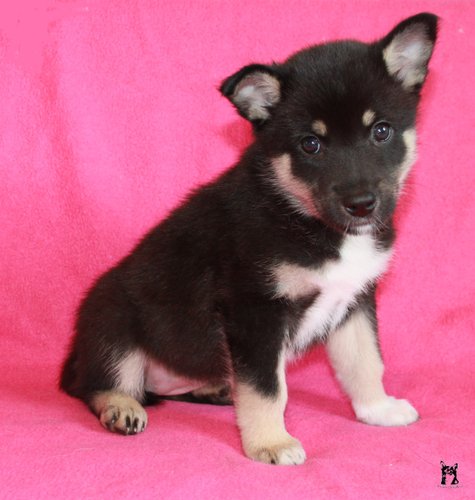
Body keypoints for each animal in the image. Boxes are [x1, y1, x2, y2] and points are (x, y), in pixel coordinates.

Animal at [60, 13, 438, 465]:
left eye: (381, 131)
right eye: (311, 144)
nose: (362, 205)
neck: (304, 217)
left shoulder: (355, 302)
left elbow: (364, 362)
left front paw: (377, 409)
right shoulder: (254, 310)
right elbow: (266, 388)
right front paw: (270, 443)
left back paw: (217, 389)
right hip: (112, 324)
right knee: (96, 385)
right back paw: (122, 408)